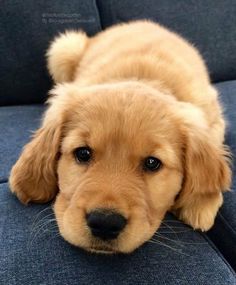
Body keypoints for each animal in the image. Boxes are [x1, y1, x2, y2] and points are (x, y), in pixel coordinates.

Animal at [9, 20, 230, 253]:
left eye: (152, 163)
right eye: (83, 153)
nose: (105, 223)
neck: (146, 78)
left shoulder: (214, 118)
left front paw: (200, 203)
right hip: (63, 48)